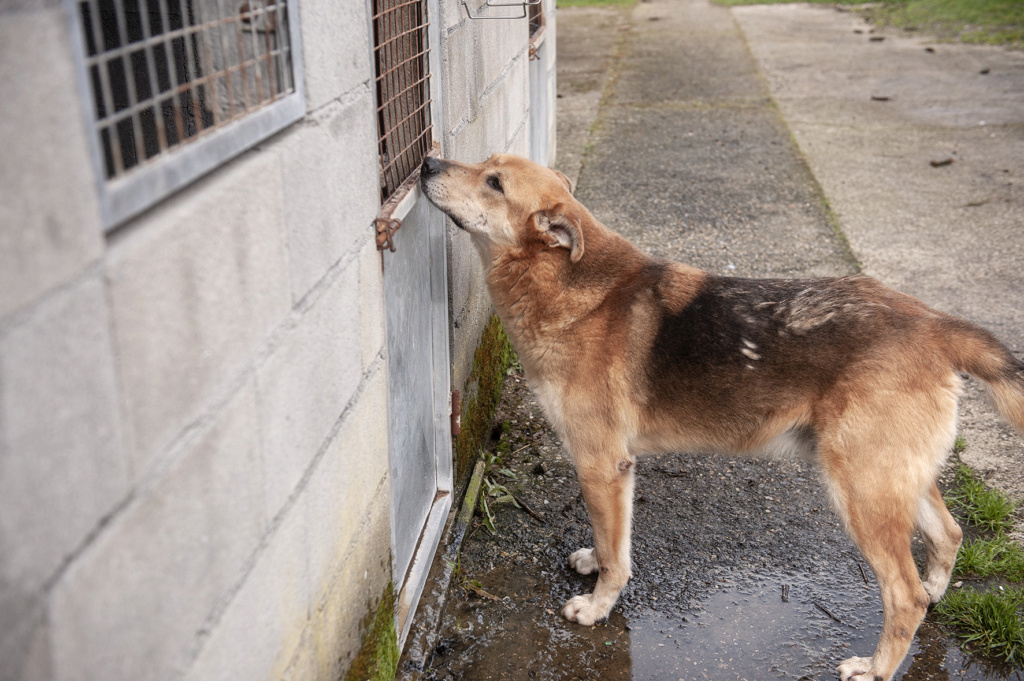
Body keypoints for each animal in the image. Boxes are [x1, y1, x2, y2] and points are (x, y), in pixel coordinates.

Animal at [417, 152, 1024, 679]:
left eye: (494, 182)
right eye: (485, 164)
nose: (426, 162)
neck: (564, 282)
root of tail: (935, 324)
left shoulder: (601, 465)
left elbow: (617, 555)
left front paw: (597, 607)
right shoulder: (616, 471)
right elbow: (612, 542)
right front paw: (594, 563)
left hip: (861, 492)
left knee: (904, 595)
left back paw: (876, 667)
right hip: (893, 481)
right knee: (947, 538)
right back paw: (936, 593)